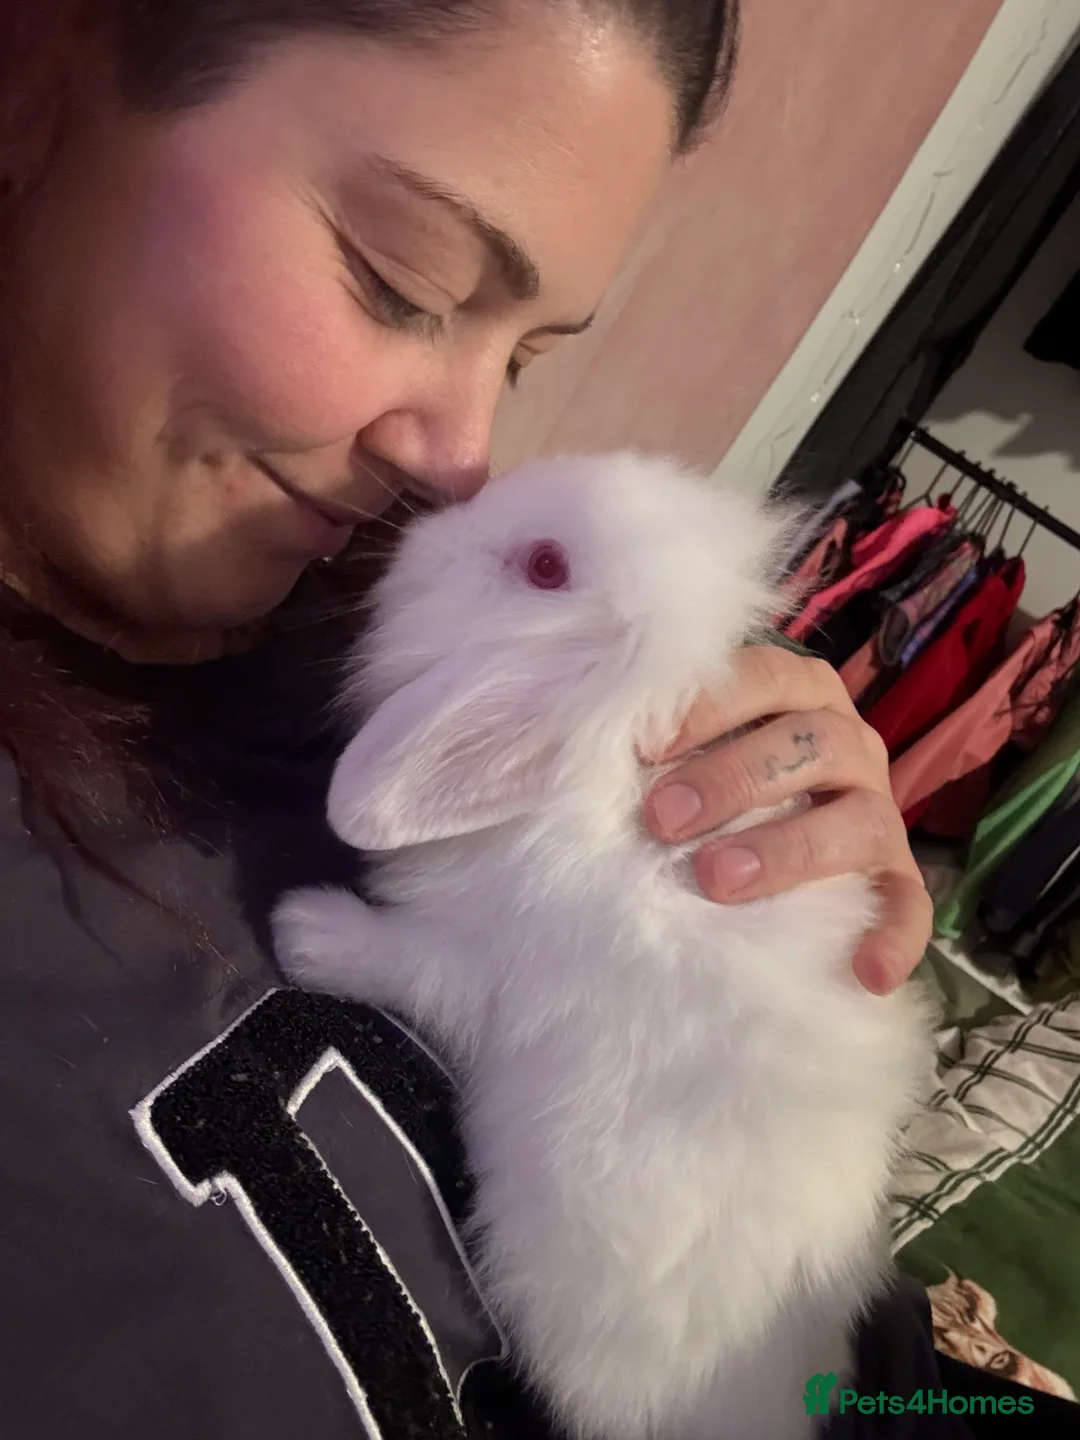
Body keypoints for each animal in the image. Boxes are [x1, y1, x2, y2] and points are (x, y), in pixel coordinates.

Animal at [272, 451, 936, 1440]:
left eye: (546, 567)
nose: (429, 526)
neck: (604, 778)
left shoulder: (477, 969)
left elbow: (396, 961)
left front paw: (302, 930)